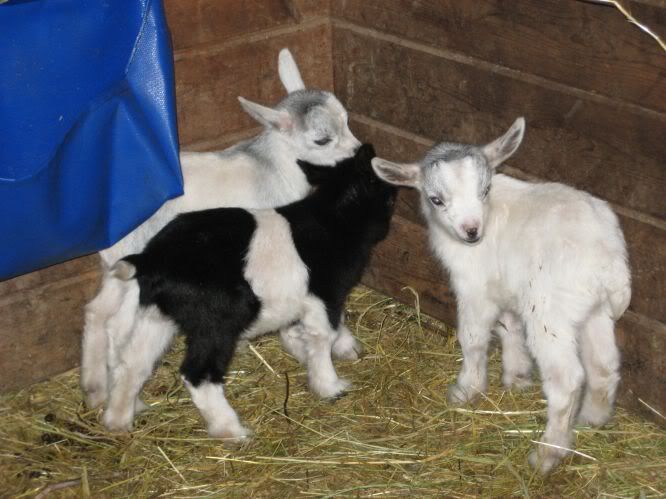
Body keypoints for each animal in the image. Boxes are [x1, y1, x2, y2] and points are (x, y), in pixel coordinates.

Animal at [81, 49, 362, 410]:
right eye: (322, 139)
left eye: (347, 119)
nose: (358, 152)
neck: (273, 167)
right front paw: (337, 344)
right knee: (117, 325)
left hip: (117, 265)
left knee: (97, 312)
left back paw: (96, 389)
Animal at [100, 144, 397, 439]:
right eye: (387, 188)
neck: (333, 221)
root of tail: (151, 259)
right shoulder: (324, 296)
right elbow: (325, 334)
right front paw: (330, 385)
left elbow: (300, 330)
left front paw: (314, 352)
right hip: (217, 320)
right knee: (198, 374)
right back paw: (230, 429)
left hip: (157, 315)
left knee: (133, 364)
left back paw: (119, 421)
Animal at [372, 118, 631, 474]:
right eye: (436, 199)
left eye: (484, 190)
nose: (471, 232)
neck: (491, 214)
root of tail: (608, 260)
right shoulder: (505, 286)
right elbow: (510, 328)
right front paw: (517, 377)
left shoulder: (474, 288)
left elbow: (472, 339)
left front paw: (467, 389)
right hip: (595, 310)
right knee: (604, 364)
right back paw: (592, 419)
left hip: (550, 315)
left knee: (567, 379)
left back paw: (548, 453)